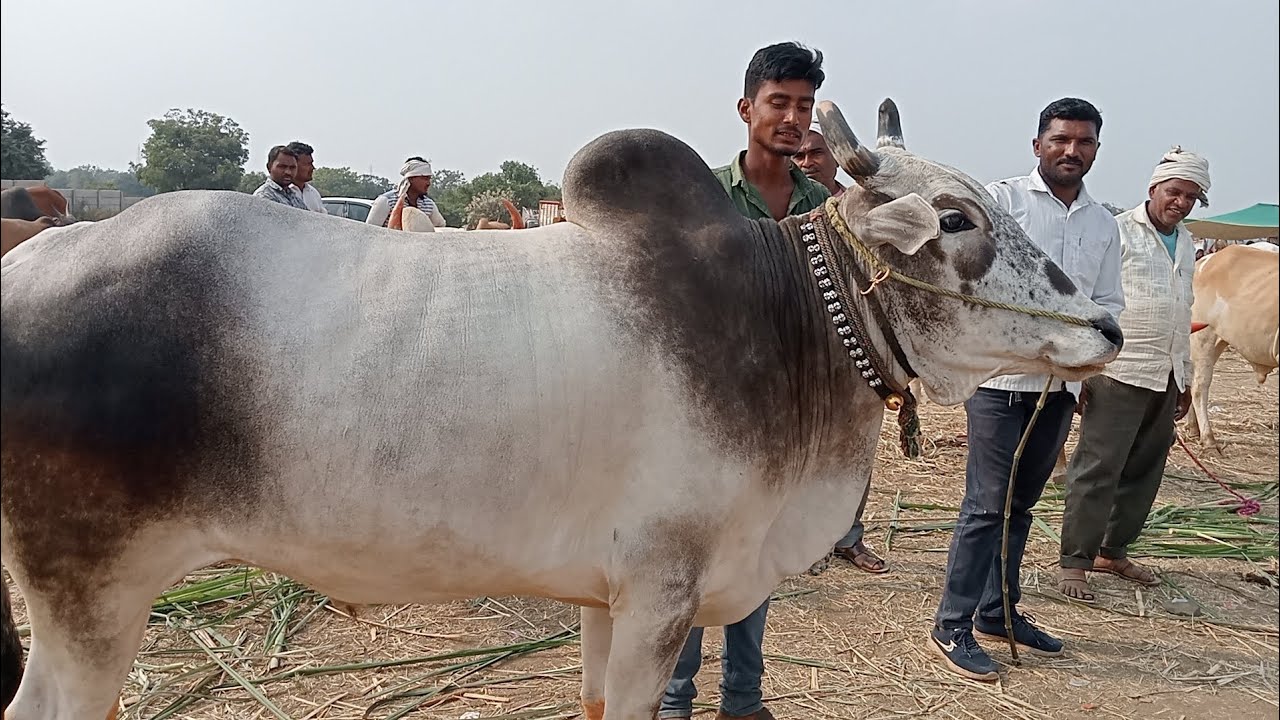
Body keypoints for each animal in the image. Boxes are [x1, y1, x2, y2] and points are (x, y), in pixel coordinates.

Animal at [0, 99, 1122, 720]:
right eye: (958, 221)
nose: (1107, 327)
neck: (792, 317)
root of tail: (31, 264)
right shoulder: (662, 594)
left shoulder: (606, 595)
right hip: (92, 596)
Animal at [1185, 243, 1280, 451]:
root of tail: (1205, 261)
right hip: (1203, 336)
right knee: (1199, 385)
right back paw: (1208, 438)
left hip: (1218, 340)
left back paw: (1193, 428)